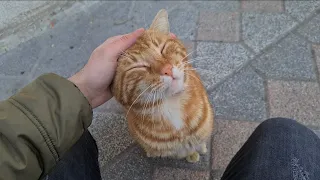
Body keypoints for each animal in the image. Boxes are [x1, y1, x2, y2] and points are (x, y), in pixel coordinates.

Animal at [111, 9, 214, 162]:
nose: (167, 69)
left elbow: (199, 143)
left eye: (163, 49)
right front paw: (191, 155)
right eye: (138, 66)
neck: (172, 105)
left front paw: (198, 151)